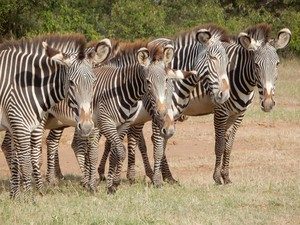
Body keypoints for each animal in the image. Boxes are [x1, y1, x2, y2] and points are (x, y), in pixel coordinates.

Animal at [128, 23, 290, 185]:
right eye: (256, 65)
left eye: (277, 64)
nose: (268, 103)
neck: (238, 76)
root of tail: (153, 42)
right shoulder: (220, 112)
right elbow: (219, 145)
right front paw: (217, 177)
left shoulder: (238, 114)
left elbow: (229, 145)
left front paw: (226, 176)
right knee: (141, 138)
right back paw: (149, 175)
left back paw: (167, 177)